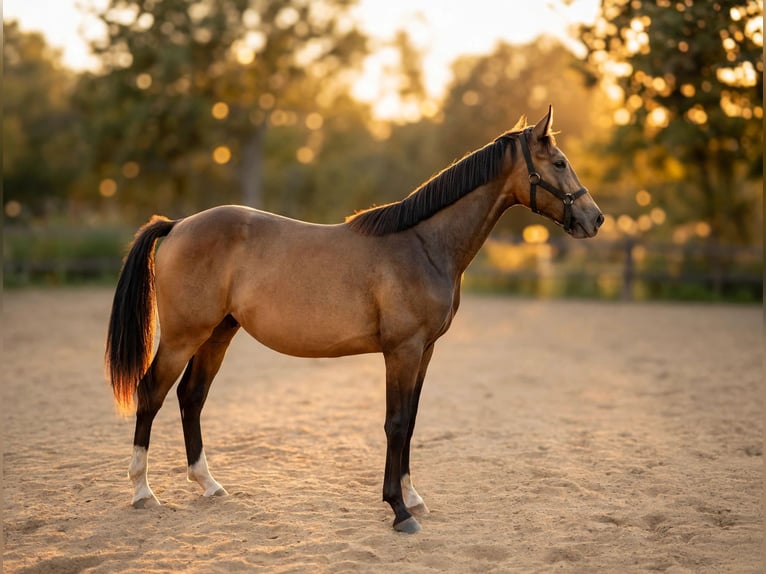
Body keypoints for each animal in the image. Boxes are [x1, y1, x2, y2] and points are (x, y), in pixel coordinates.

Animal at [106, 106, 603, 534]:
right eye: (559, 162)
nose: (595, 218)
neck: (423, 245)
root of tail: (178, 224)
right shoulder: (402, 350)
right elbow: (395, 423)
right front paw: (399, 510)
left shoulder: (425, 350)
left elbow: (412, 420)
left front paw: (412, 495)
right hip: (183, 336)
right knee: (151, 393)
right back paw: (142, 492)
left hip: (217, 333)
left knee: (191, 397)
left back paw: (208, 484)